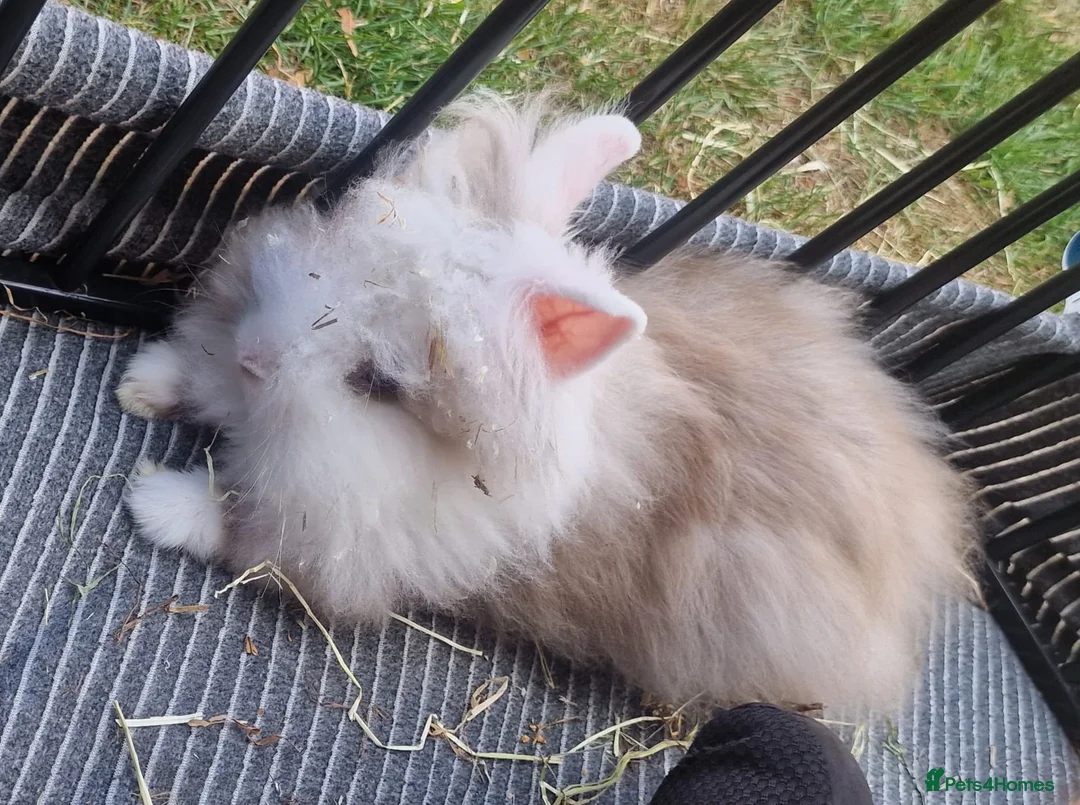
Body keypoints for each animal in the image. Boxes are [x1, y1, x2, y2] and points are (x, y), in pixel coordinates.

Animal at [117, 91, 975, 713]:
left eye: (378, 383)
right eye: (327, 268)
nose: (257, 356)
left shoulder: (336, 531)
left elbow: (244, 525)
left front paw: (155, 502)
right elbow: (202, 383)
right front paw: (145, 381)